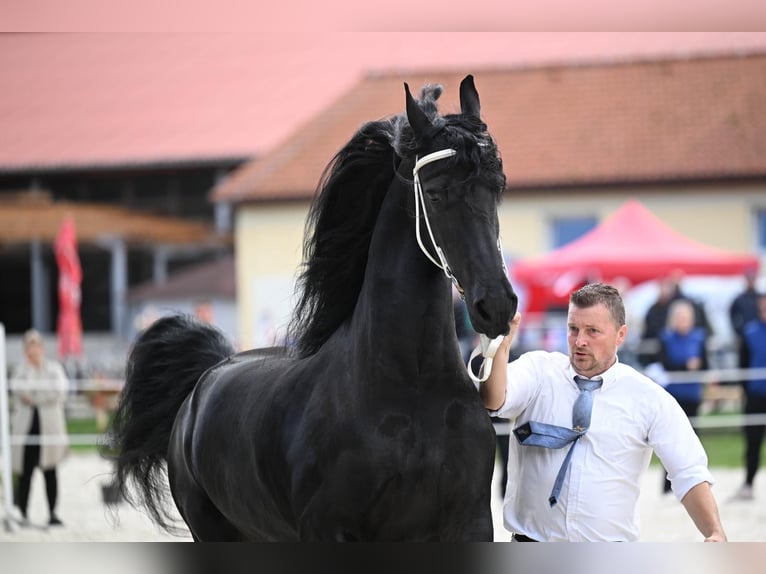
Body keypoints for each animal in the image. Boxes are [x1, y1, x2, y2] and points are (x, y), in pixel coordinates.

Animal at [111, 74, 520, 544]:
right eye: (434, 195)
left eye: (497, 187)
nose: (496, 305)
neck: (411, 391)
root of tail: (206, 379)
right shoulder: (331, 532)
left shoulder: (470, 524)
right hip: (213, 533)